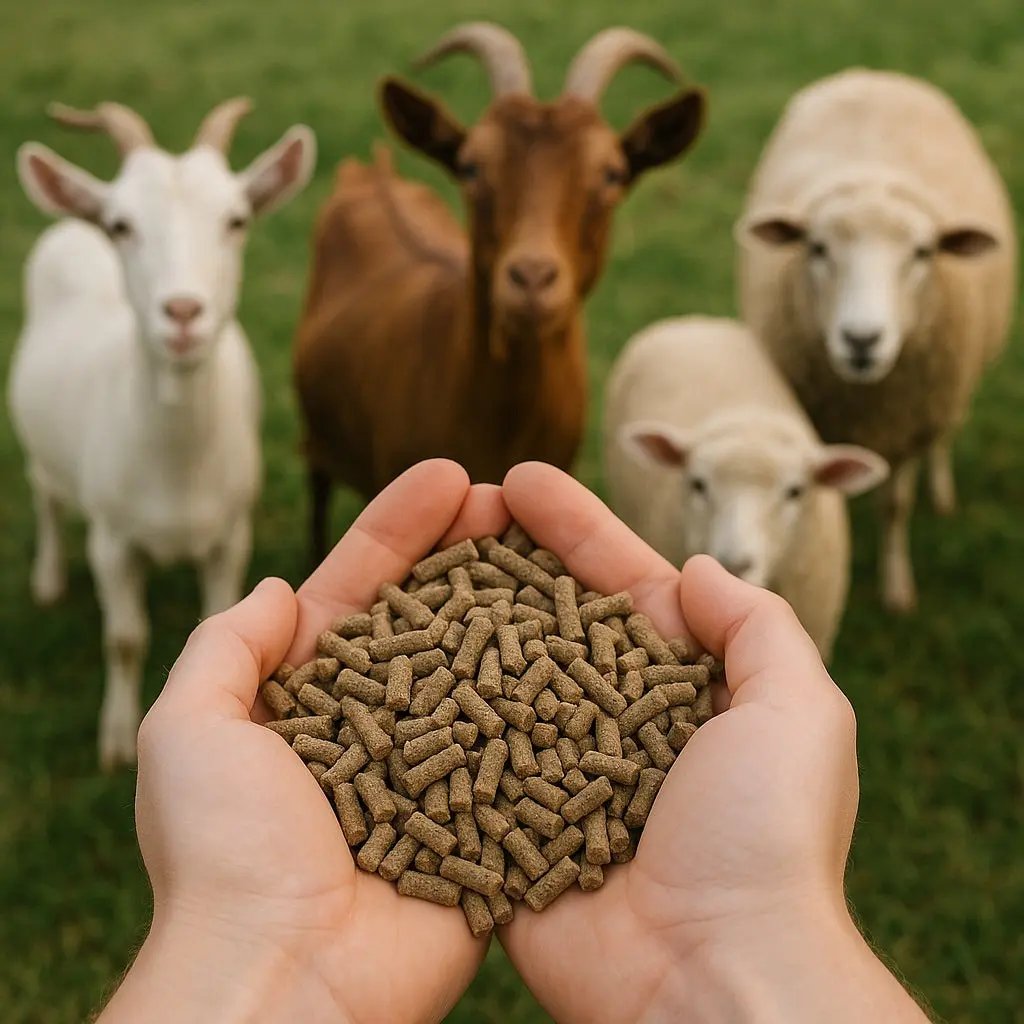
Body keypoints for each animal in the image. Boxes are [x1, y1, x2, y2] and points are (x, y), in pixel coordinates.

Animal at [9, 100, 315, 769]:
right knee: (44, 491)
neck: (176, 468)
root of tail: (74, 223)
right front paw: (117, 742)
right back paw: (47, 579)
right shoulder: (112, 540)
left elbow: (218, 614)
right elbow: (125, 639)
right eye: (122, 225)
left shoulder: (232, 532)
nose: (182, 313)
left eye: (236, 219)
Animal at [294, 23, 706, 559]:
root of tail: (369, 170)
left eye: (612, 173)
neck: (500, 428)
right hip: (316, 433)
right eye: (471, 167)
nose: (531, 277)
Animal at [736, 69, 1016, 611]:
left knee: (943, 440)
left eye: (923, 252)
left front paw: (897, 590)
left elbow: (895, 505)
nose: (861, 339)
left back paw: (942, 491)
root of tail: (873, 73)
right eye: (817, 247)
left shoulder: (908, 422)